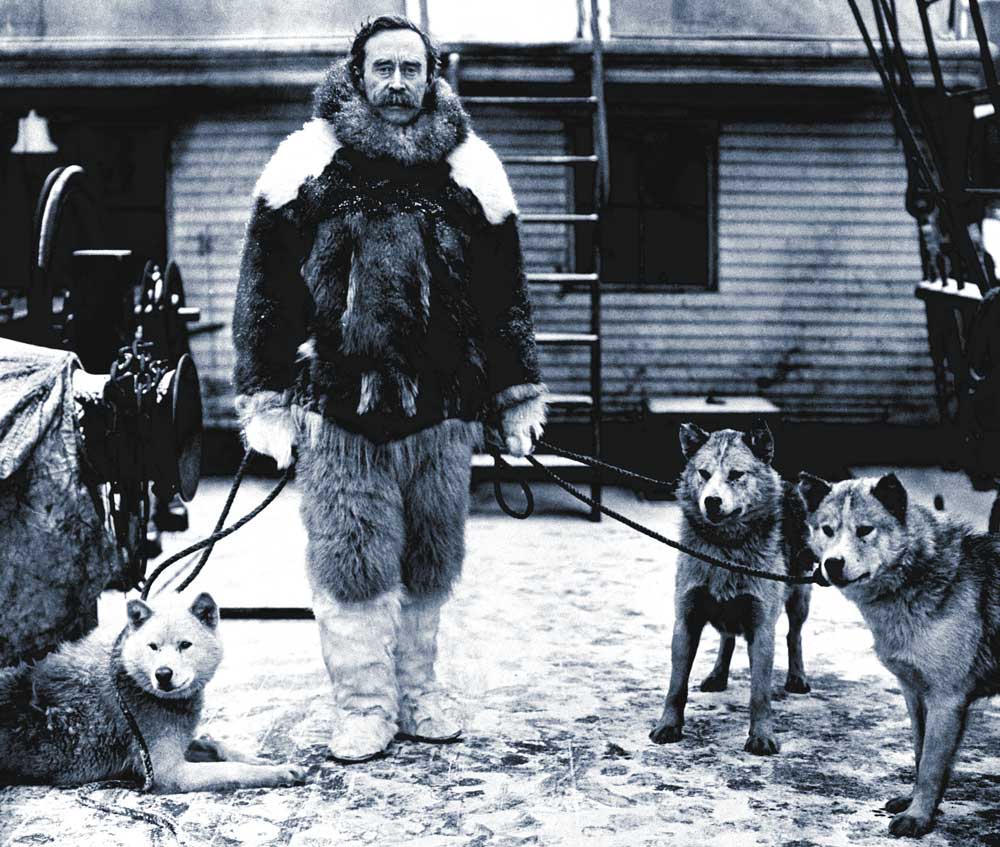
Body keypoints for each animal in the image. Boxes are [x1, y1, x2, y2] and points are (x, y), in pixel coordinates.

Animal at [0, 592, 304, 792]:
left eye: (185, 645)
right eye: (153, 646)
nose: (163, 674)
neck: (131, 681)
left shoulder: (175, 745)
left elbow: (215, 745)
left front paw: (255, 758)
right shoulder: (168, 771)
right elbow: (232, 770)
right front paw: (276, 773)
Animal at [648, 420, 812, 760]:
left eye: (736, 474)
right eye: (704, 473)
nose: (711, 501)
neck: (724, 548)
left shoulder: (762, 627)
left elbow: (760, 694)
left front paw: (761, 736)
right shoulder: (686, 621)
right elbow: (676, 685)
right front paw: (668, 725)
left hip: (799, 597)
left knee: (794, 635)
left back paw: (797, 676)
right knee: (727, 638)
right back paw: (718, 674)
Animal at [796, 474, 1000, 840]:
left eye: (865, 530)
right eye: (828, 530)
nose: (832, 564)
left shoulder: (947, 700)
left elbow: (931, 765)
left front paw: (918, 817)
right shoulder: (914, 694)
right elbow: (921, 754)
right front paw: (917, 804)